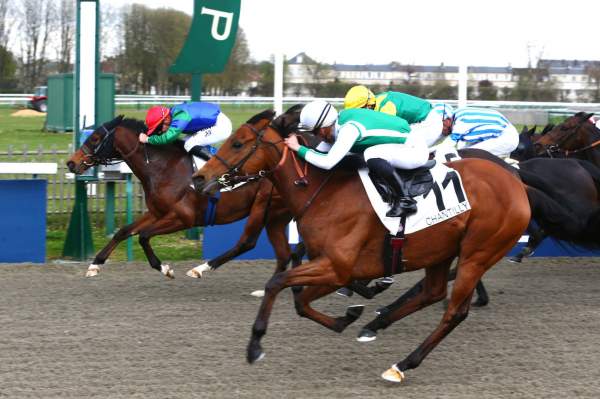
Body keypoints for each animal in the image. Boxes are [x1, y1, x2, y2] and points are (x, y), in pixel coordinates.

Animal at [66, 111, 298, 282]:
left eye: (95, 138)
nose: (71, 163)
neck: (162, 168)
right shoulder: (157, 213)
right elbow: (123, 232)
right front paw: (94, 264)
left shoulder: (183, 218)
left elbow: (143, 236)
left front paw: (164, 268)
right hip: (277, 212)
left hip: (263, 205)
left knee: (247, 243)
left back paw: (200, 269)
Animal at [192, 118, 540, 382]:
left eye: (238, 144)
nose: (199, 176)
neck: (323, 193)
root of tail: (516, 182)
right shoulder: (335, 268)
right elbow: (301, 300)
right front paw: (347, 317)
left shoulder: (337, 266)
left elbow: (278, 284)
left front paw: (254, 345)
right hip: (440, 251)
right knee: (433, 292)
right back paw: (374, 326)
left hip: (477, 253)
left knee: (454, 311)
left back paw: (401, 365)